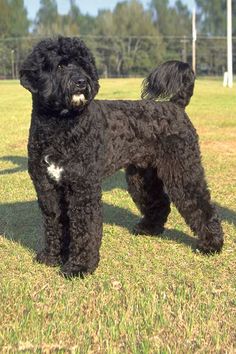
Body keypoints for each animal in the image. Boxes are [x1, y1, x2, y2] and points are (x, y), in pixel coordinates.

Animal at [19, 38, 223, 276]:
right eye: (60, 65)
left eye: (84, 66)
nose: (82, 82)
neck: (60, 126)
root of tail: (175, 105)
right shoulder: (47, 187)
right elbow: (54, 222)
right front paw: (52, 257)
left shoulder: (82, 188)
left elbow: (84, 227)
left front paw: (79, 266)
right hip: (142, 177)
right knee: (160, 202)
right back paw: (149, 229)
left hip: (182, 170)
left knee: (201, 204)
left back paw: (212, 244)